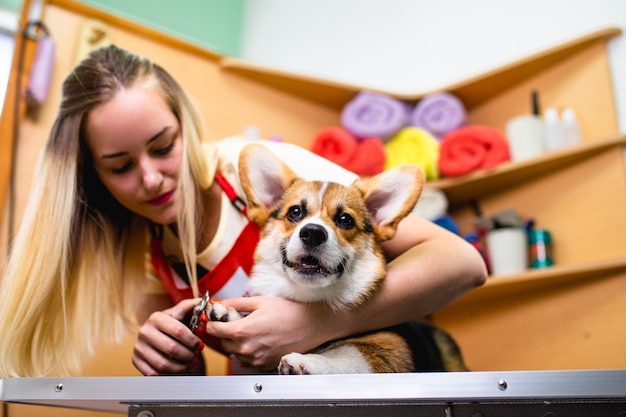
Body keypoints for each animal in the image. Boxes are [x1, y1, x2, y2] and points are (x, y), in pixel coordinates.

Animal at [207, 142, 466, 374]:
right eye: (295, 212)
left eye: (345, 220)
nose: (312, 233)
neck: (306, 297)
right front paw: (230, 316)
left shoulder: (390, 348)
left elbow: (349, 355)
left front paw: (309, 361)